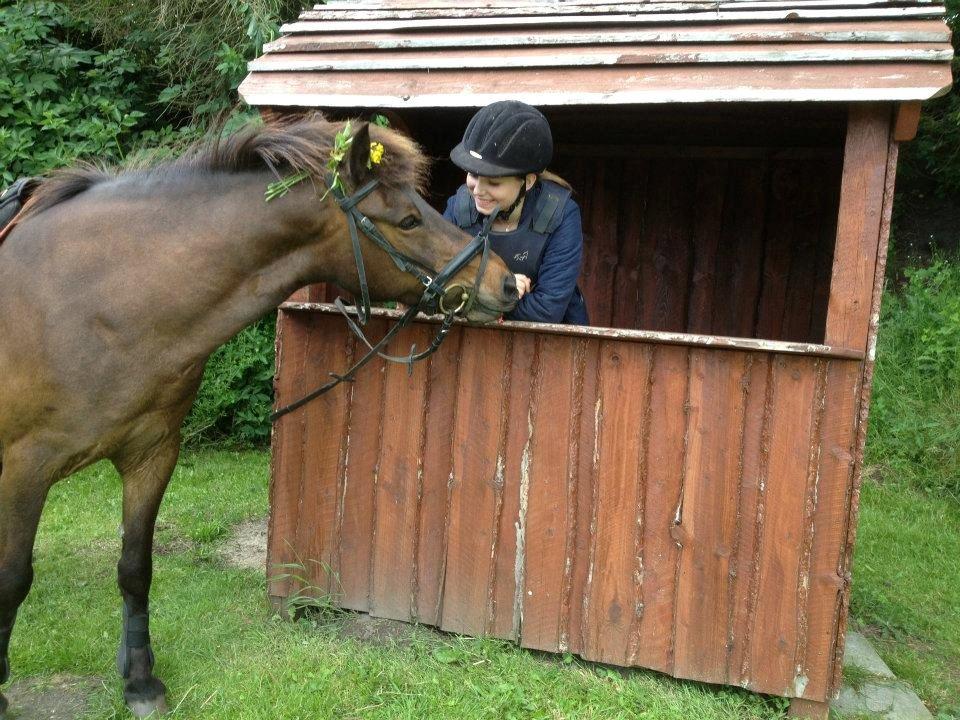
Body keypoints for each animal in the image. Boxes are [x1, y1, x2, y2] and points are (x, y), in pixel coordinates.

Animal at [0, 115, 516, 716]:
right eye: (409, 219)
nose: (505, 282)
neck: (98, 298)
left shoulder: (151, 455)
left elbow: (134, 569)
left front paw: (140, 681)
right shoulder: (26, 467)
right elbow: (13, 577)